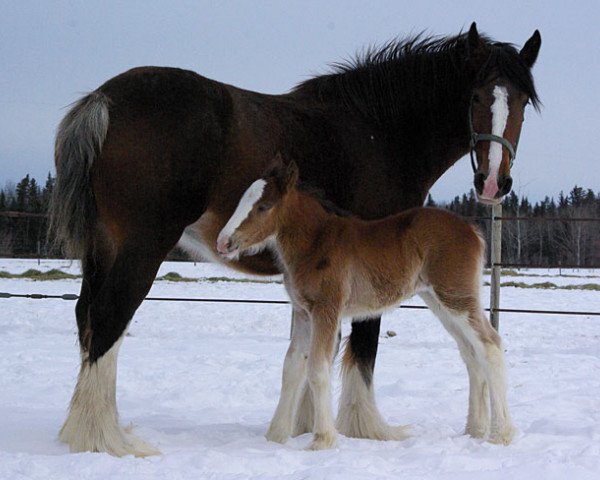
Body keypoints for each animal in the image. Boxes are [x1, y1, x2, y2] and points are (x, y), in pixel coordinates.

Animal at [217, 159, 516, 448]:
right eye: (243, 200)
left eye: (263, 207)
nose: (223, 242)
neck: (316, 243)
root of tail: (472, 230)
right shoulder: (303, 313)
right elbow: (291, 368)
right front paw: (275, 436)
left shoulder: (326, 310)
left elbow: (317, 369)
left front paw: (322, 439)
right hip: (441, 302)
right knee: (471, 352)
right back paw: (475, 430)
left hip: (456, 297)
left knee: (490, 345)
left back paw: (500, 435)